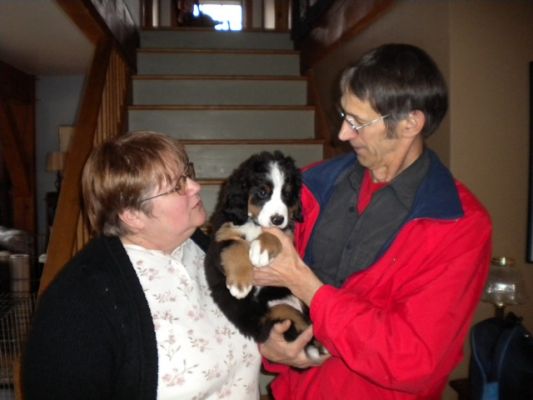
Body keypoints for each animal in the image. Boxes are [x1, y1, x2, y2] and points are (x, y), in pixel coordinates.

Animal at [204, 151, 326, 362]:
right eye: (262, 192)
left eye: (286, 194)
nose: (278, 219)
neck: (253, 223)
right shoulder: (220, 237)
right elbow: (236, 245)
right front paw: (240, 284)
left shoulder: (286, 235)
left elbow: (274, 234)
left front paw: (261, 249)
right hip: (268, 316)